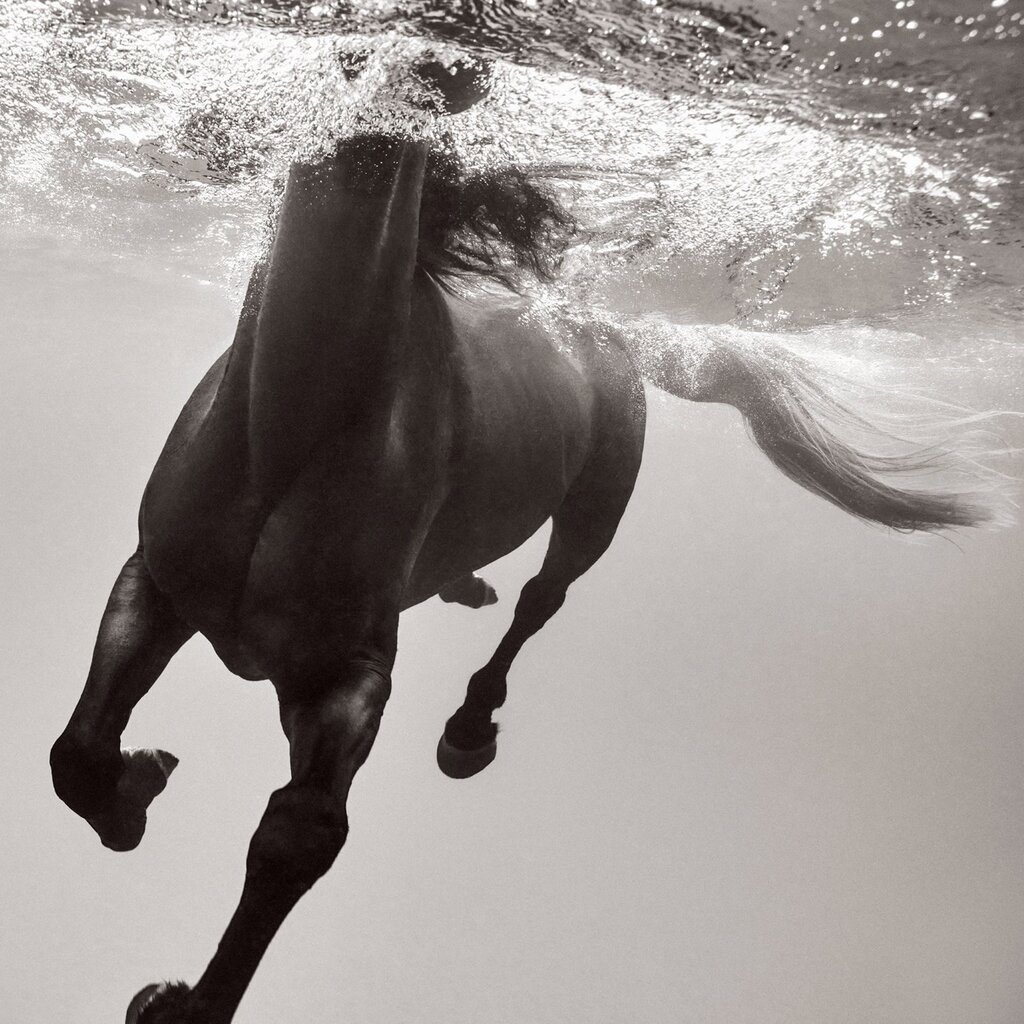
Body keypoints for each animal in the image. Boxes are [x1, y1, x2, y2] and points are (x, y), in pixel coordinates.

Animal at [48, 60, 995, 1024]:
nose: (445, 65)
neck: (294, 422)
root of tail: (605, 331)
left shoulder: (350, 672)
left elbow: (296, 835)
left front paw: (182, 999)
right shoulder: (154, 581)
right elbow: (76, 751)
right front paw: (137, 785)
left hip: (598, 504)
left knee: (543, 600)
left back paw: (470, 729)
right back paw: (464, 587)